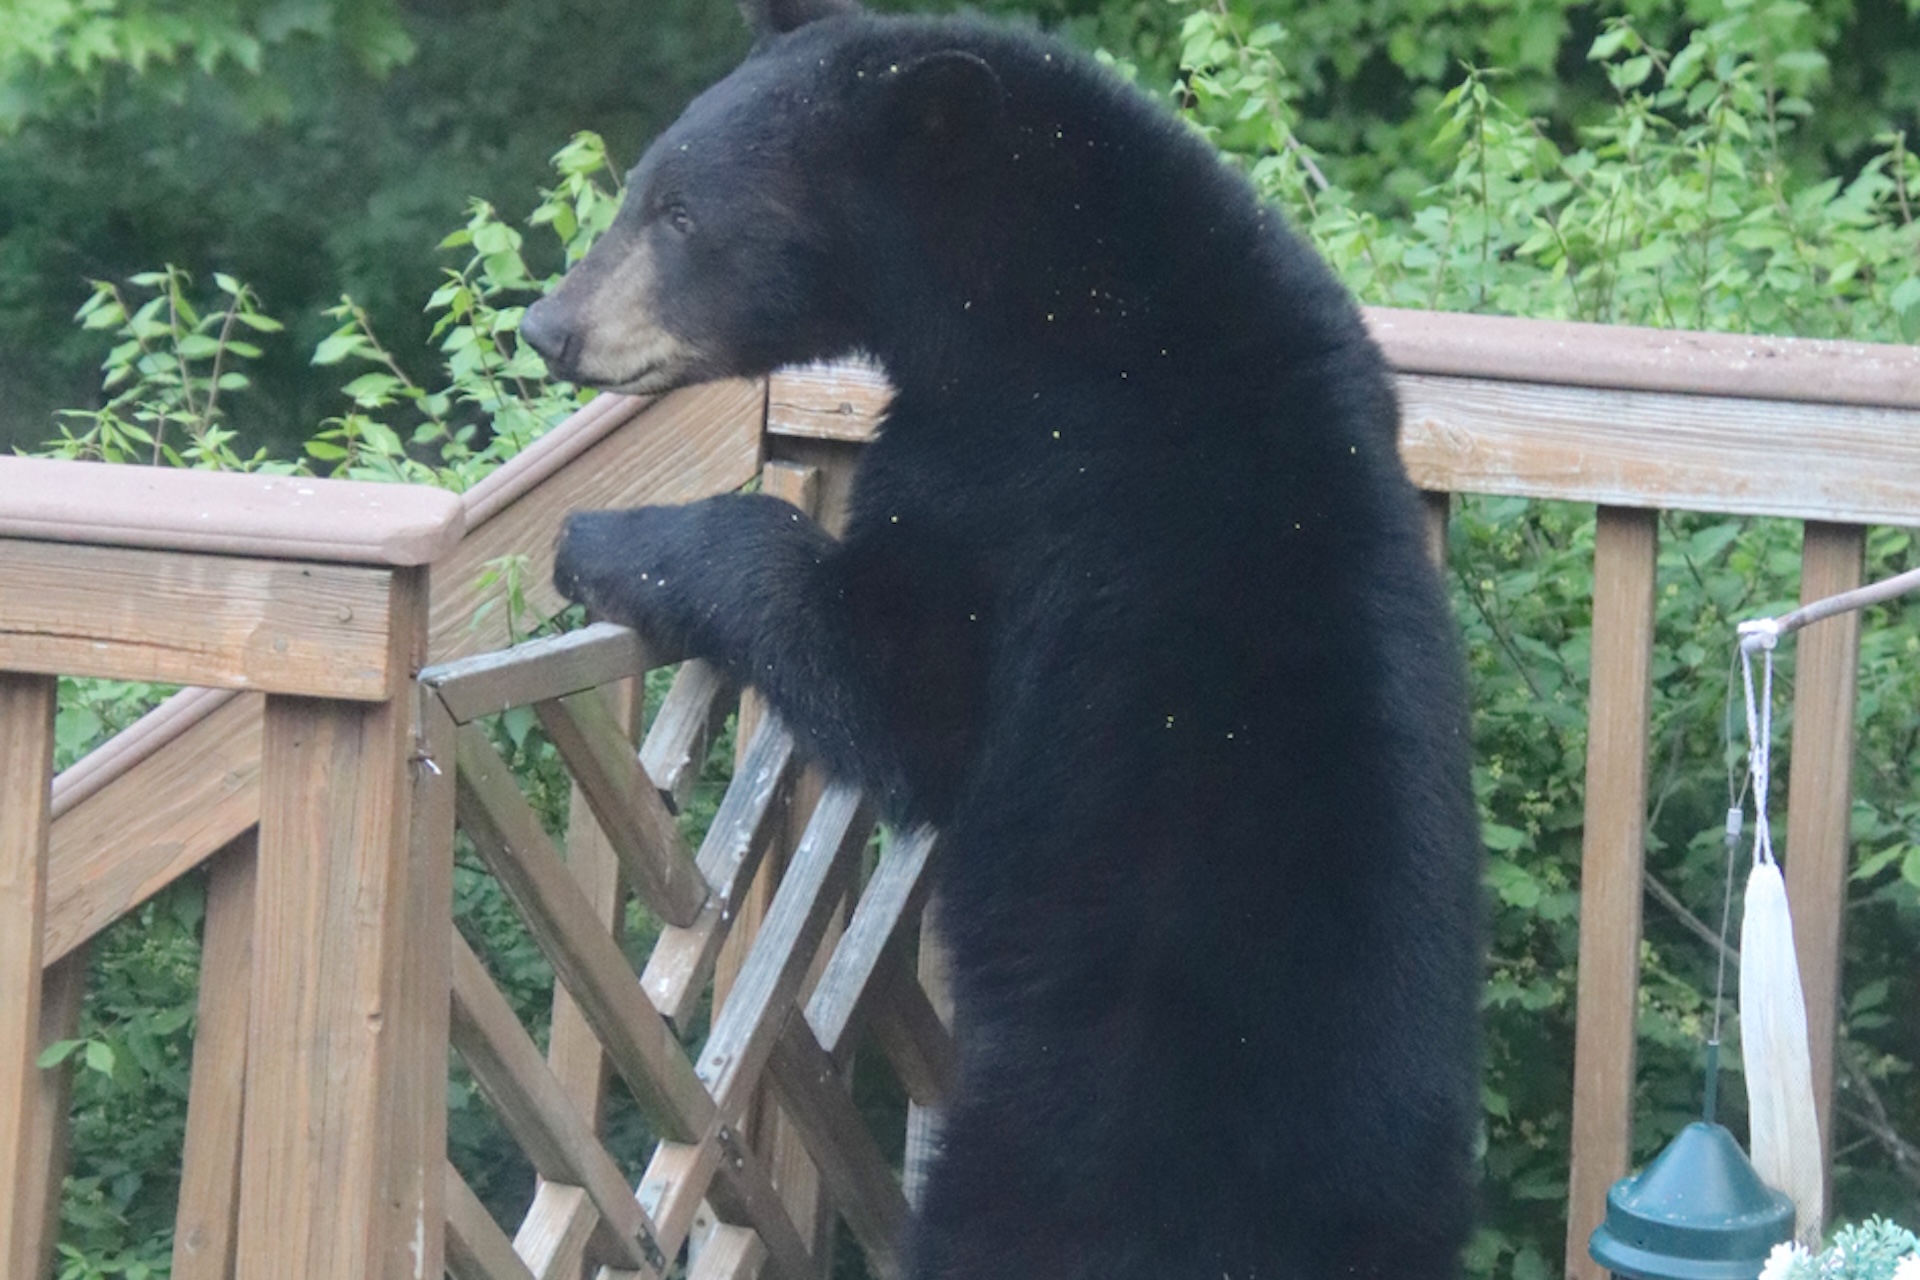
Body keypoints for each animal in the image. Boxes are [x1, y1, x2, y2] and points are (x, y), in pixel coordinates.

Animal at [521, 0, 1485, 1276]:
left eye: (683, 215)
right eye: (644, 187)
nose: (549, 324)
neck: (1046, 290)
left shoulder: (1038, 489)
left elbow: (896, 681)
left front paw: (601, 537)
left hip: (1063, 1141)